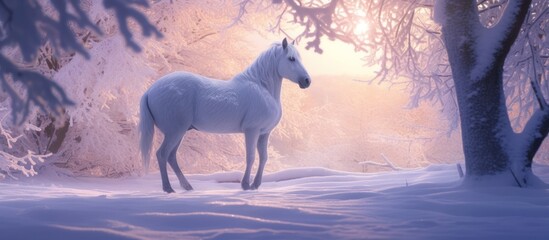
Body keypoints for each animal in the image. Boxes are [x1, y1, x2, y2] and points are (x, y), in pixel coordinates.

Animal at [139, 39, 310, 193]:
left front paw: (256, 185)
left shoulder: (264, 133)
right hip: (174, 132)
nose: (307, 81)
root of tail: (151, 90)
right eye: (291, 58)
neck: (262, 88)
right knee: (162, 155)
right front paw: (245, 185)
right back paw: (168, 189)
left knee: (171, 157)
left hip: (179, 132)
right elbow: (251, 157)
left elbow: (264, 157)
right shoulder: (252, 131)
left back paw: (187, 187)